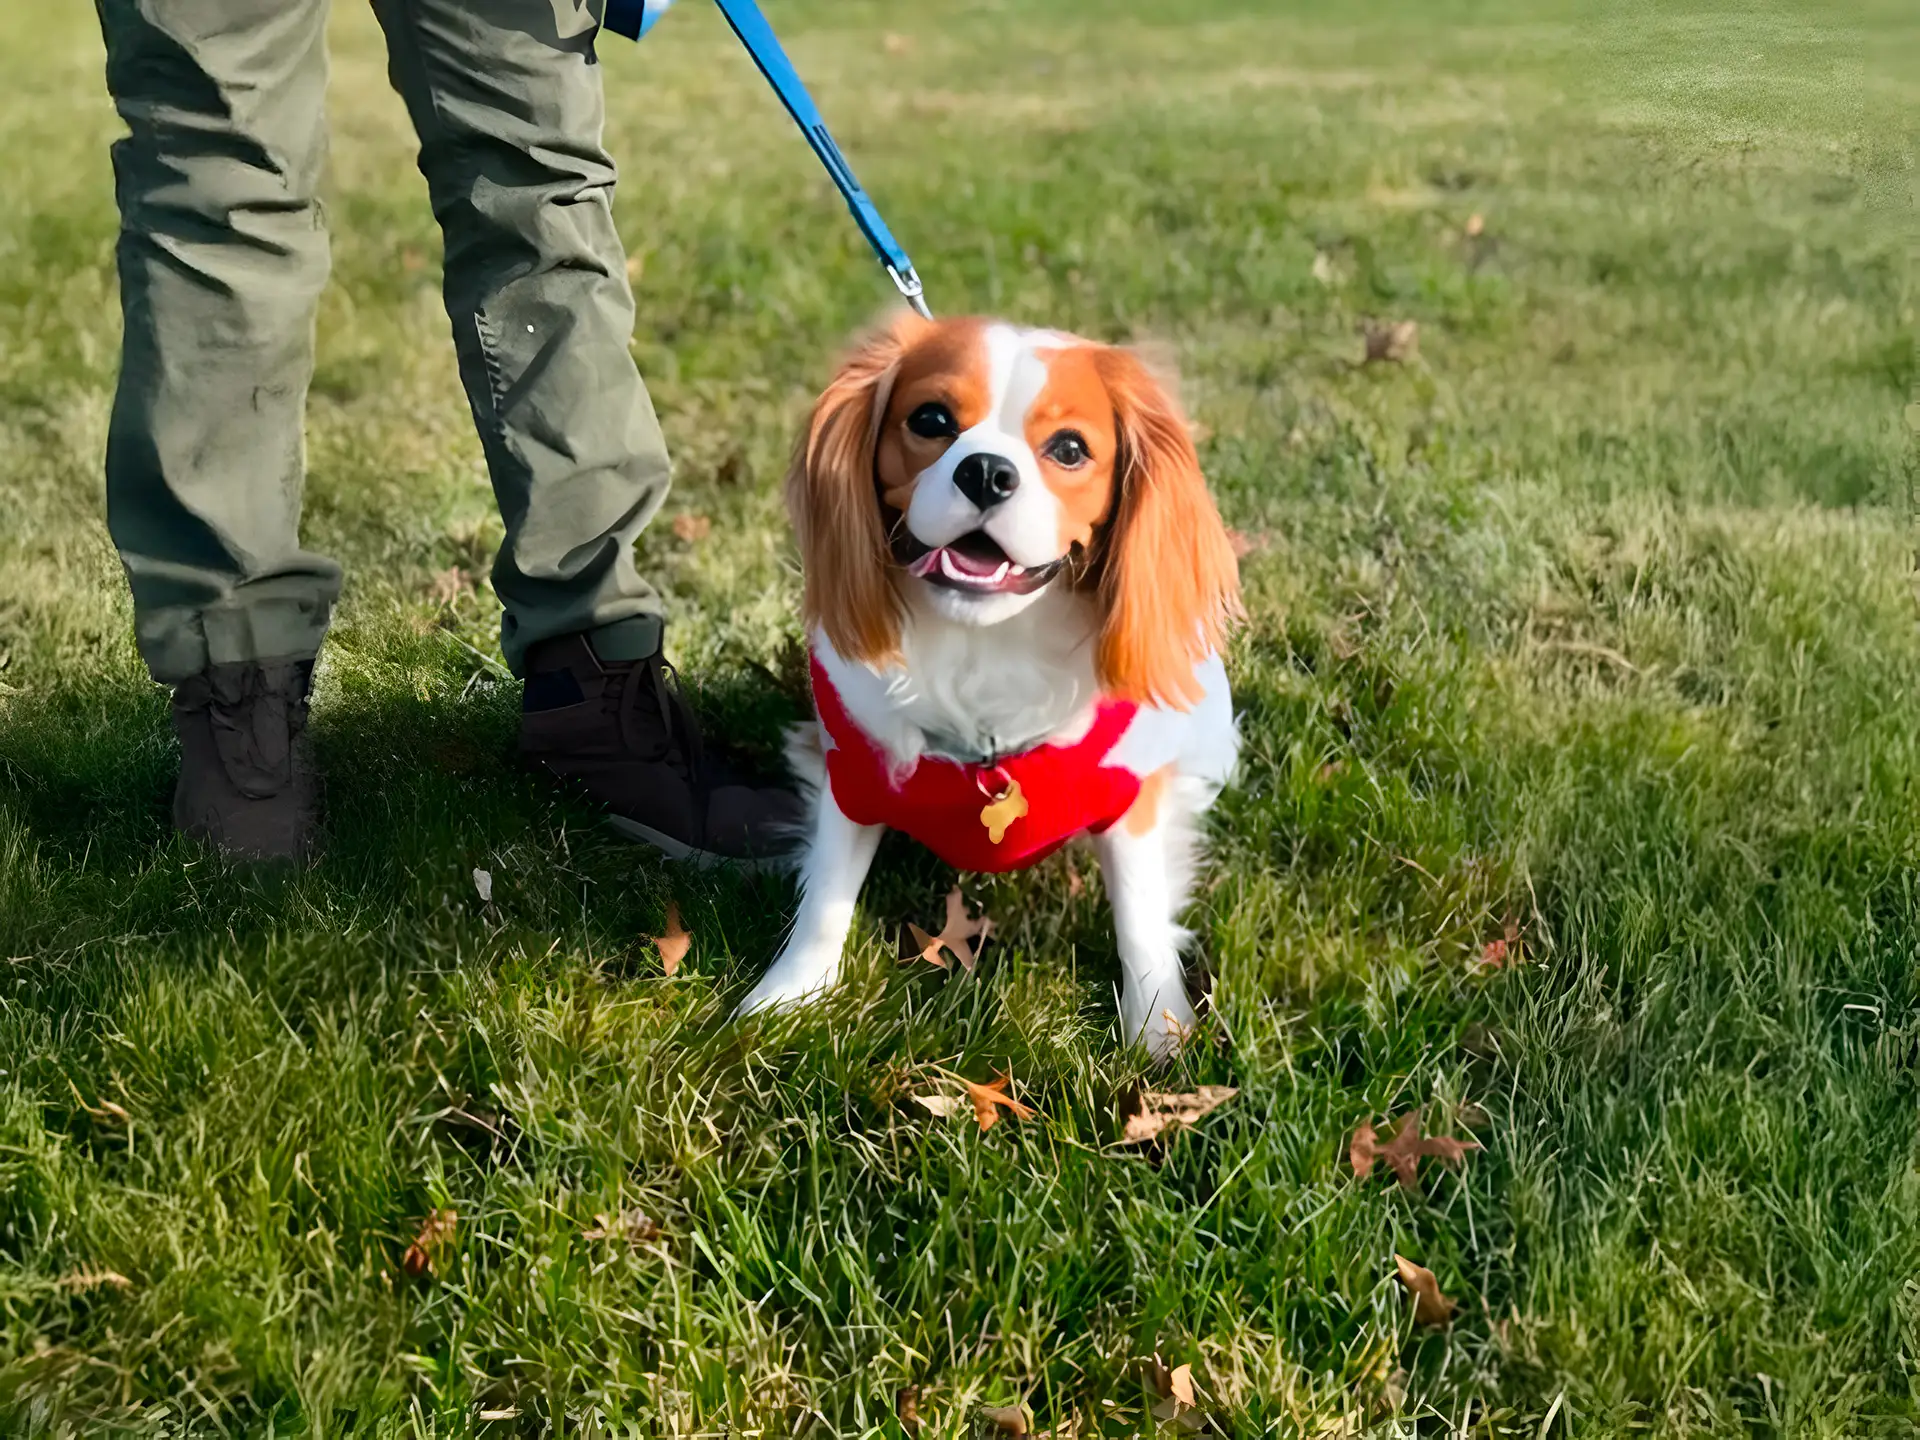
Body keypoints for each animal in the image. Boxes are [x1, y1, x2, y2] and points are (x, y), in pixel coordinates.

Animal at [733, 314, 1244, 1059]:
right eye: (931, 419)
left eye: (1069, 449)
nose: (985, 471)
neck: (985, 643)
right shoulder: (855, 770)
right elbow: (827, 890)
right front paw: (792, 994)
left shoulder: (1129, 794)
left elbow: (1140, 915)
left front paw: (1156, 1028)